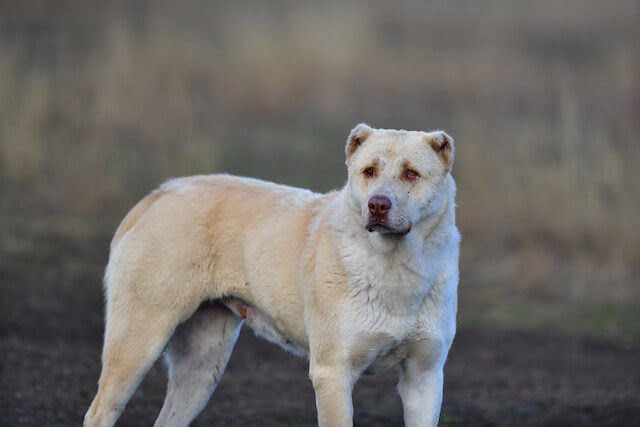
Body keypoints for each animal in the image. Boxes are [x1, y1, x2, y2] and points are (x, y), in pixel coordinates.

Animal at [84, 123, 460, 427]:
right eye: (368, 171)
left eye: (411, 174)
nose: (378, 205)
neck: (396, 266)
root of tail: (160, 194)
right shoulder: (332, 373)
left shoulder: (424, 377)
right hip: (137, 343)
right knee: (99, 412)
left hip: (201, 367)